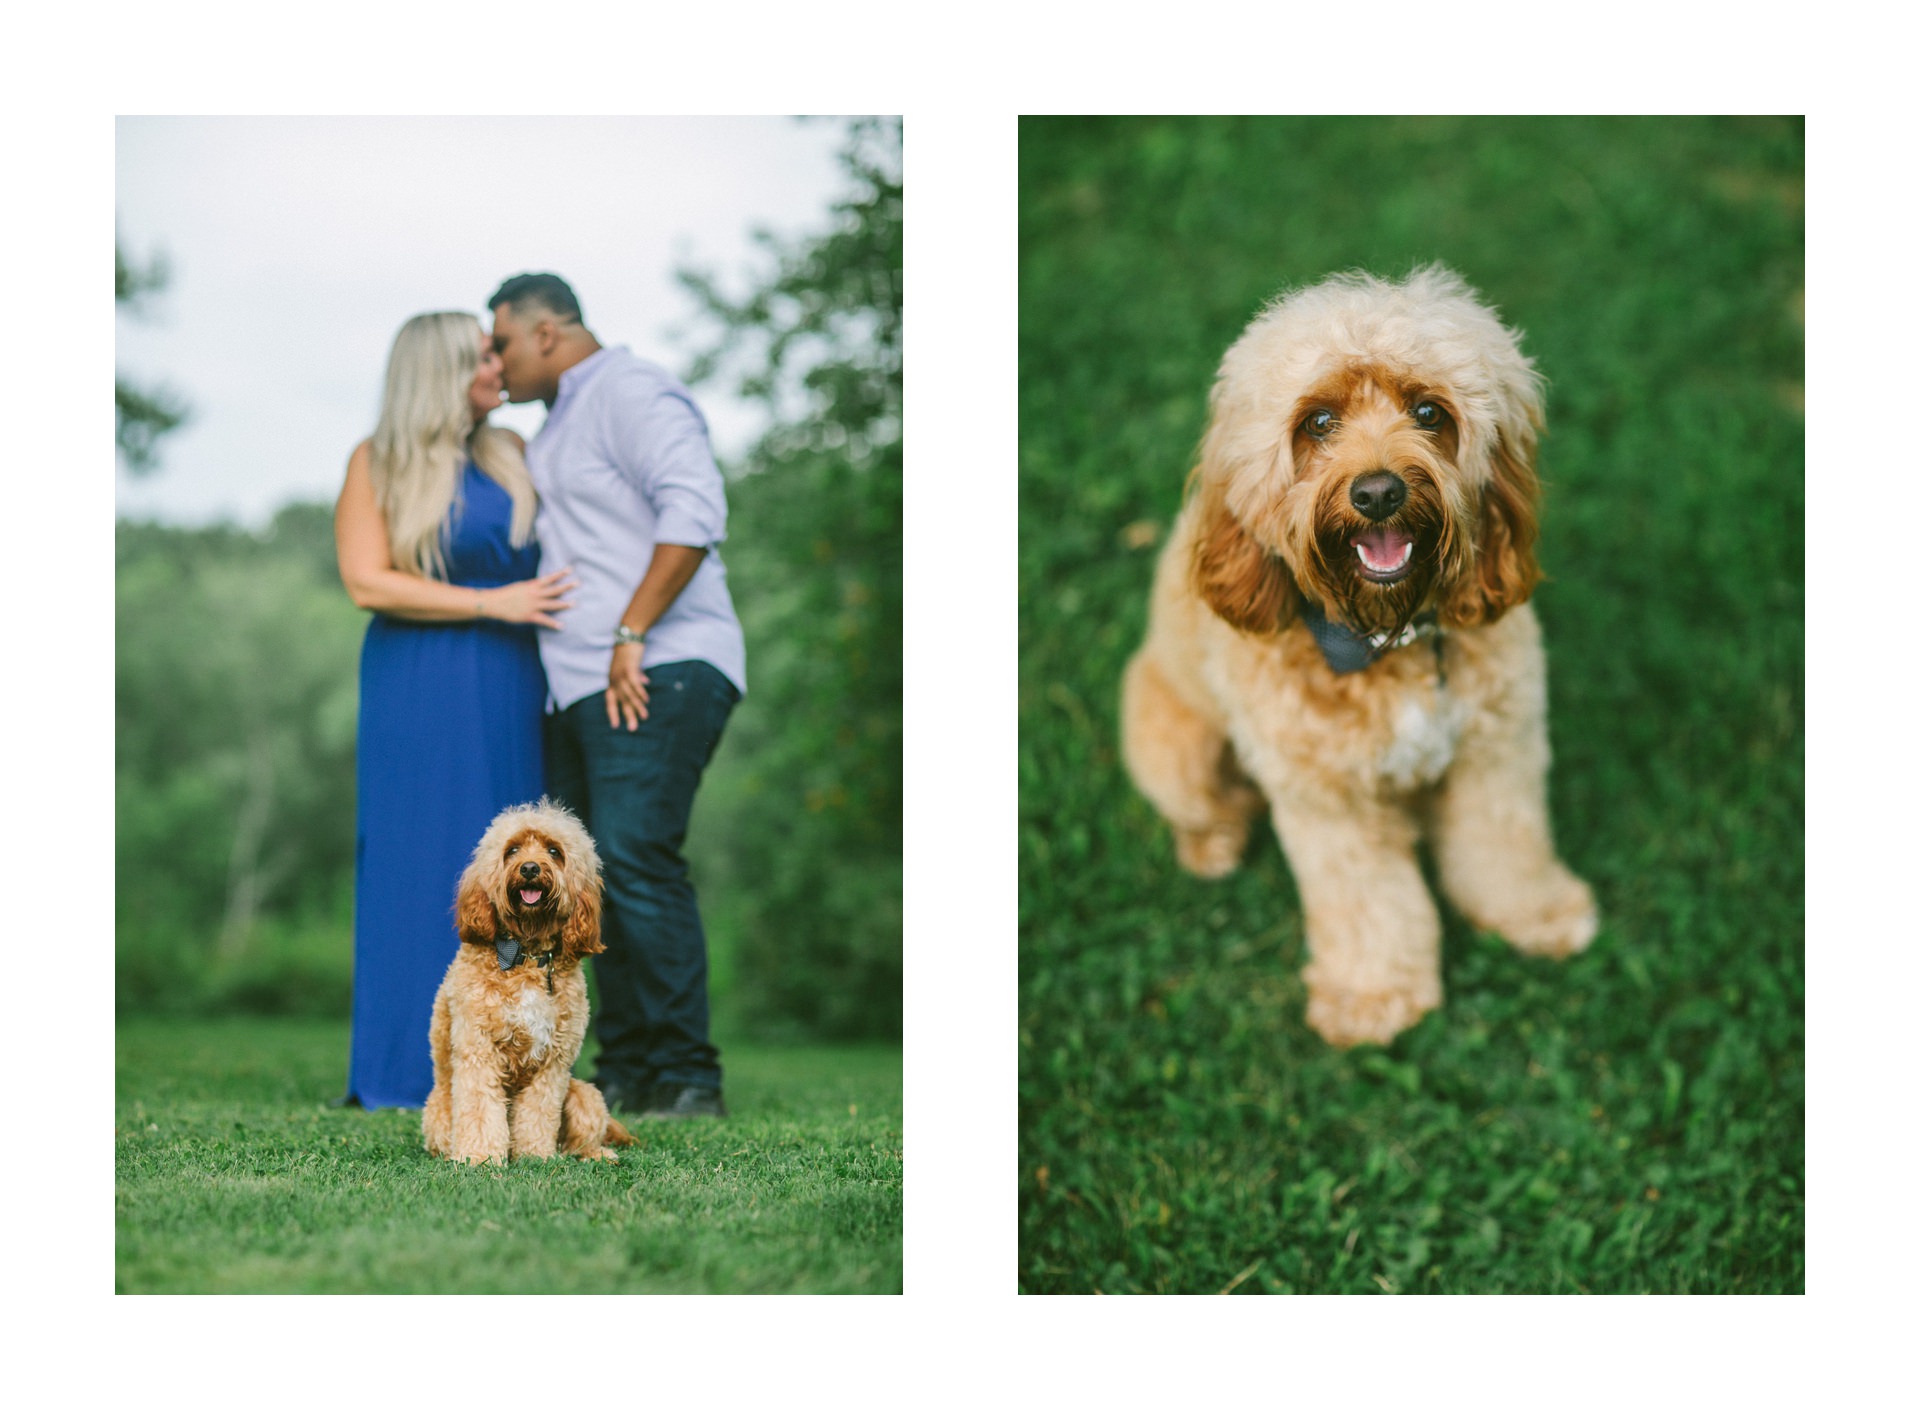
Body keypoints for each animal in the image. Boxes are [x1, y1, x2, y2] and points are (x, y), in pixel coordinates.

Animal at [424, 799, 633, 1167]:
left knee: (580, 1140)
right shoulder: (478, 1050)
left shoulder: (554, 1062)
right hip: (438, 1118)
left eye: (554, 851)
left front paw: (536, 1156)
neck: (526, 954)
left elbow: (538, 1112)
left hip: (585, 1094)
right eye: (512, 850)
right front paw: (480, 1157)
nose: (531, 868)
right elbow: (480, 1108)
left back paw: (596, 1154)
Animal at [1121, 270, 1597, 1052]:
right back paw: (1212, 845)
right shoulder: (1327, 800)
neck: (1384, 637)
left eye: (1429, 412)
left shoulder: (1498, 751)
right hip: (1174, 749)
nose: (1378, 493)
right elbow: (1368, 902)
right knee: (1205, 805)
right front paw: (1374, 997)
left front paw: (1538, 915)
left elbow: (1505, 845)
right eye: (1317, 423)